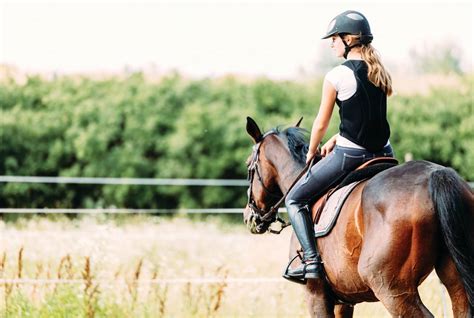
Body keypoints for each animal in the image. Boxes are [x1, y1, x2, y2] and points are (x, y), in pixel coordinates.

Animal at [244, 117, 474, 318]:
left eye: (248, 167)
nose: (248, 216)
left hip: (392, 290)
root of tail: (435, 174)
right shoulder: (344, 302)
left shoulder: (315, 295)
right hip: (456, 279)